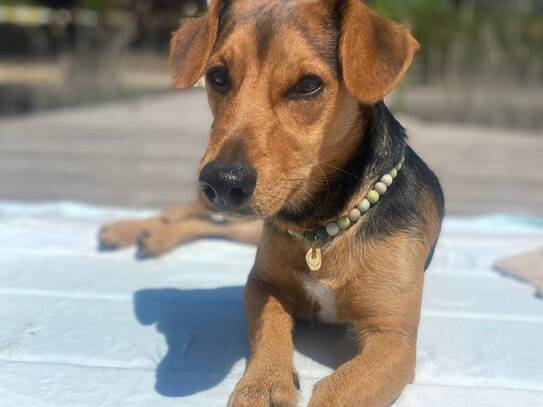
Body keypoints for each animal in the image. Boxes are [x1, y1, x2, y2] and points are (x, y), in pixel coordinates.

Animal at [100, 1, 444, 406]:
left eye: (308, 85)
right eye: (217, 76)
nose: (222, 182)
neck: (321, 227)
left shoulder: (394, 338)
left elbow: (337, 390)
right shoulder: (261, 283)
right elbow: (270, 326)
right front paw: (264, 383)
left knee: (206, 223)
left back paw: (153, 235)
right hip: (240, 218)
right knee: (190, 211)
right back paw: (131, 230)